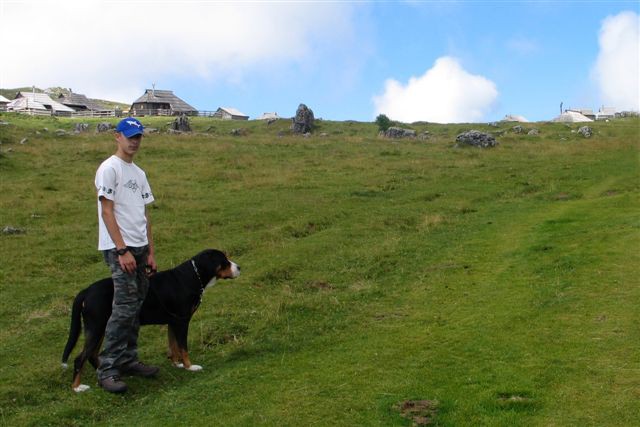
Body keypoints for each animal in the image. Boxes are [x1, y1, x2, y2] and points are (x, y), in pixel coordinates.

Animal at [62, 249, 240, 392]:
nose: (239, 268)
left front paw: (177, 364)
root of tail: (86, 291)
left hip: (100, 328)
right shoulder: (182, 321)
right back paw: (77, 387)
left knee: (92, 355)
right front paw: (190, 366)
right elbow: (183, 347)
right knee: (80, 358)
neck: (192, 276)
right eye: (224, 261)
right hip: (96, 327)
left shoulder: (172, 321)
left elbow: (173, 346)